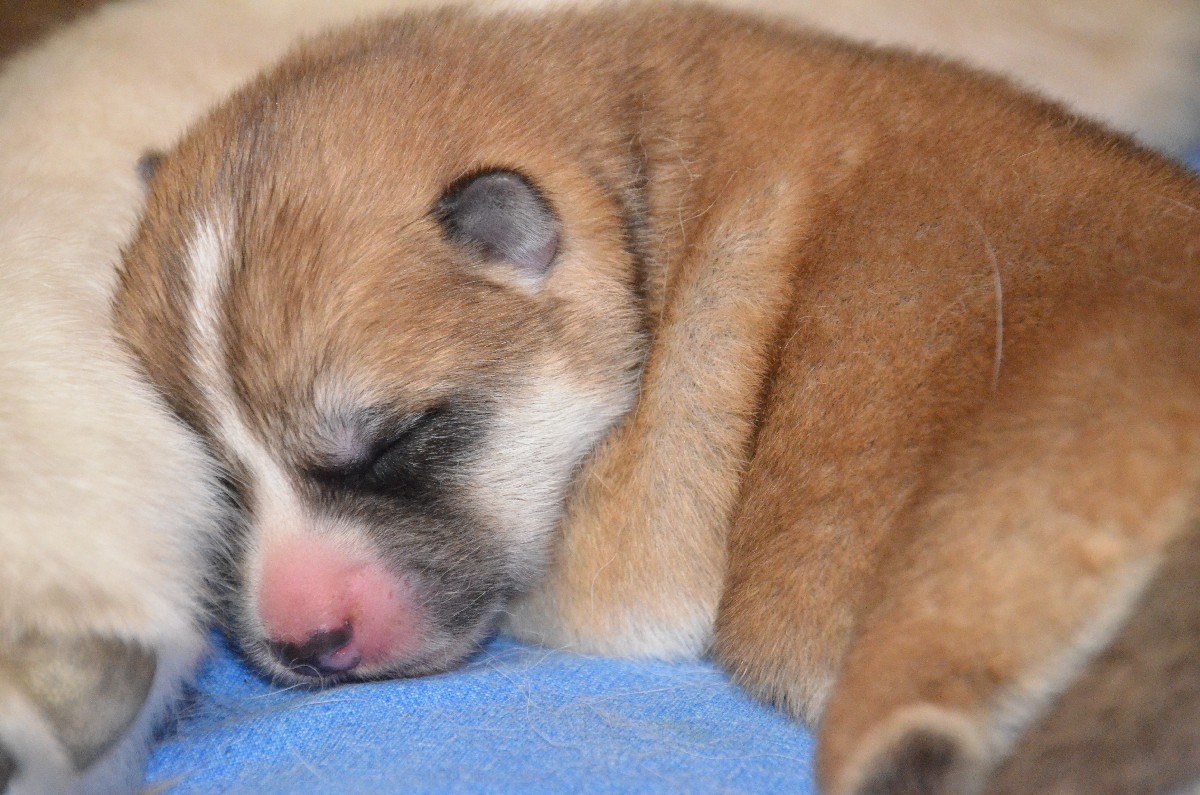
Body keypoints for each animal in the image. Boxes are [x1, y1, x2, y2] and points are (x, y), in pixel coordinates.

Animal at [4, 0, 1200, 791]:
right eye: (220, 477)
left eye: (396, 442)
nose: (303, 645)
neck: (630, 187)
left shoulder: (624, 565)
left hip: (970, 555)